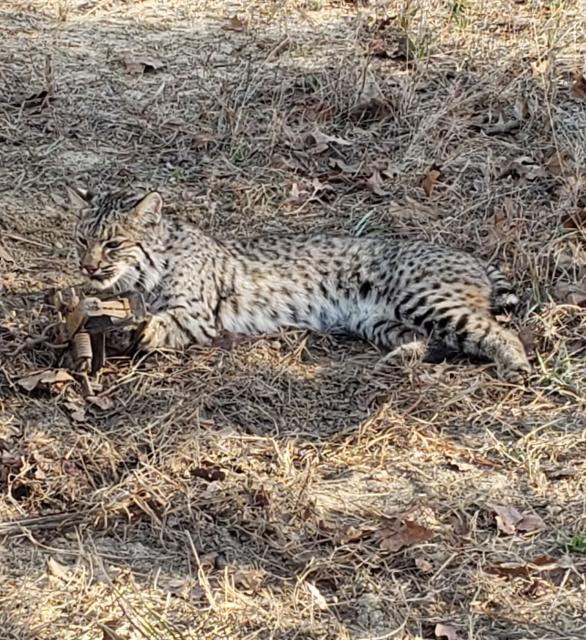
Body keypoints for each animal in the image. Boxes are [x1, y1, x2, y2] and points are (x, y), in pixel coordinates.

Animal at [66, 187, 531, 382]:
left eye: (112, 244)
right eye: (82, 240)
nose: (87, 268)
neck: (150, 266)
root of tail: (472, 257)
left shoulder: (197, 315)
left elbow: (155, 324)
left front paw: (132, 330)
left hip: (422, 298)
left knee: (498, 331)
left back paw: (515, 365)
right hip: (377, 320)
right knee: (442, 342)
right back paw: (402, 357)